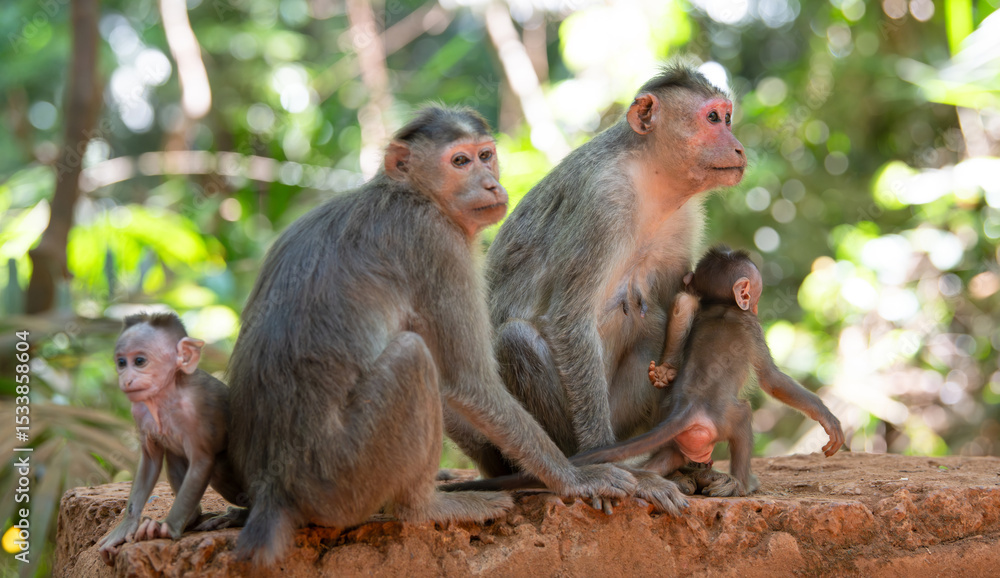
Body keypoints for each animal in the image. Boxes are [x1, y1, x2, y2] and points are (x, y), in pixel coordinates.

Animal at [97, 312, 247, 566]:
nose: (126, 379)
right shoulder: (139, 410)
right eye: (121, 363)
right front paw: (127, 526)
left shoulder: (196, 411)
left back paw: (241, 516)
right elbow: (150, 461)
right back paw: (194, 517)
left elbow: (203, 461)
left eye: (139, 361)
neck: (166, 395)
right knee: (174, 453)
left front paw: (167, 529)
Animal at [225, 106, 638, 566]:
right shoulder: (438, 244)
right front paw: (575, 477)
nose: (490, 183)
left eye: (485, 156)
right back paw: (425, 507)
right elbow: (469, 382)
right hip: (341, 479)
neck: (413, 193)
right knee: (413, 355)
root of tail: (274, 491)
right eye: (460, 161)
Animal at [449, 64, 746, 513]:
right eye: (713, 118)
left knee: (648, 317)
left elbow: (681, 302)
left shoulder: (687, 218)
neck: (649, 179)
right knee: (517, 339)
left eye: (727, 118)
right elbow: (570, 319)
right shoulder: (602, 202)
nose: (739, 147)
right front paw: (619, 474)